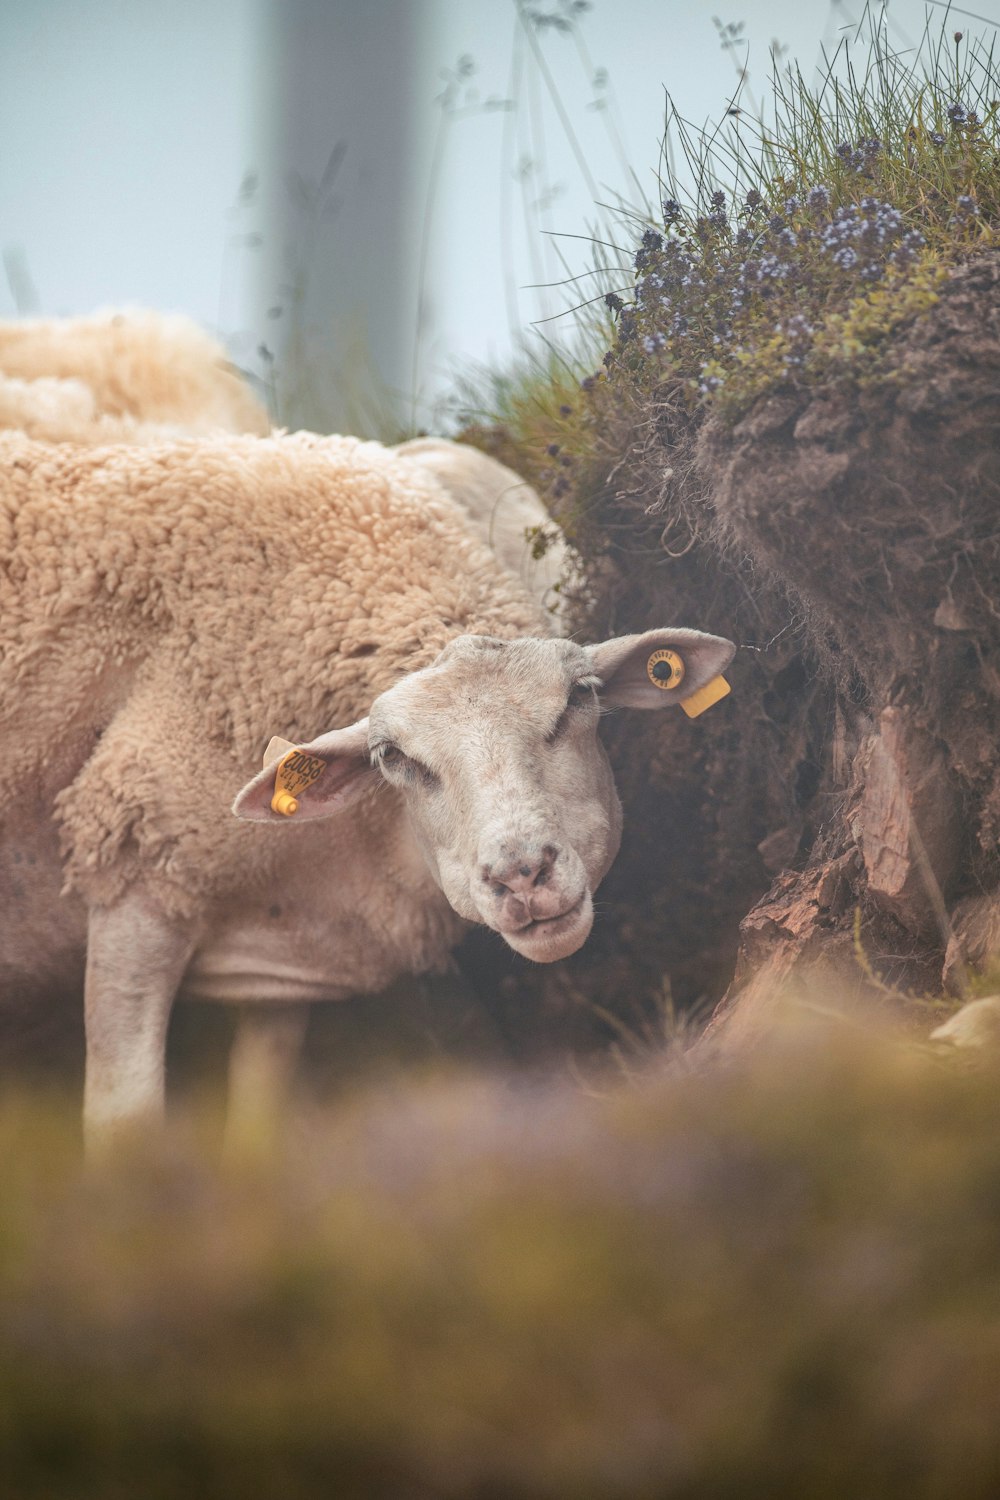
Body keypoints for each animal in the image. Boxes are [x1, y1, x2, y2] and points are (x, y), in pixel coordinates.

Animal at [0, 426, 734, 1146]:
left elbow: (258, 1113)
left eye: (580, 697)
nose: (522, 875)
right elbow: (124, 1124)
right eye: (393, 757)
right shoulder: (133, 883)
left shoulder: (285, 966)